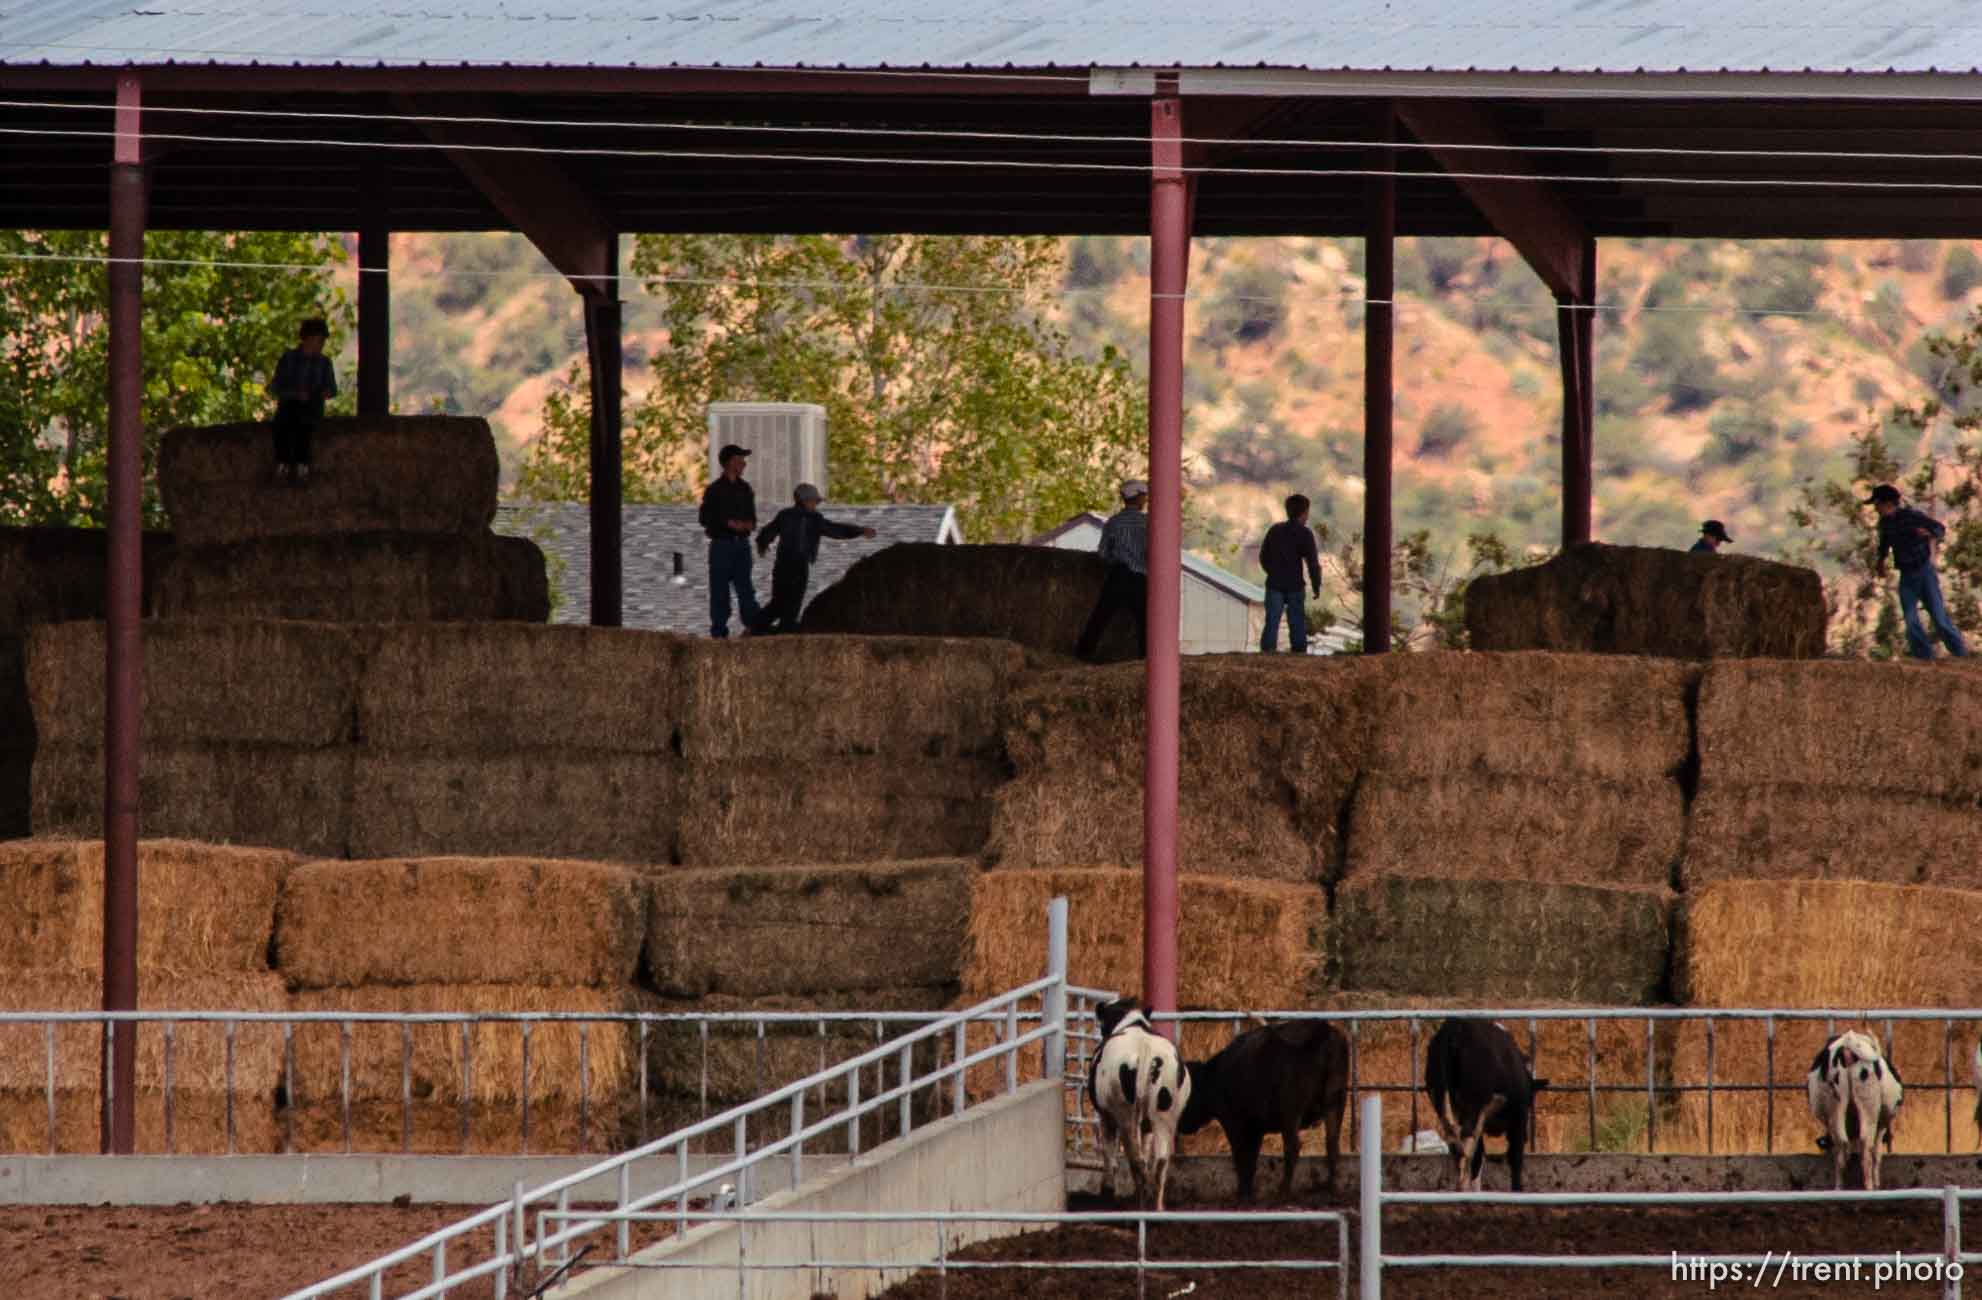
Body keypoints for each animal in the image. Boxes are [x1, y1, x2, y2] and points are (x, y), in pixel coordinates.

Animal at [1086, 998, 1189, 1212]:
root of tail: (1145, 1050)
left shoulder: (1106, 1116)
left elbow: (1109, 1155)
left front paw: (1108, 1191)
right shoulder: (1147, 1125)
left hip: (1126, 1116)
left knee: (1137, 1162)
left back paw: (1140, 1206)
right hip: (1164, 1117)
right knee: (1159, 1163)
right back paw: (1157, 1208)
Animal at [1181, 1022, 1355, 1204]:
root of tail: (1323, 1029)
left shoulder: (1234, 1123)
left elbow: (1241, 1155)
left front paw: (1243, 1193)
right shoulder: (1256, 1128)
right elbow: (1251, 1158)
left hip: (1291, 1112)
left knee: (1292, 1147)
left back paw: (1284, 1192)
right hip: (1335, 1103)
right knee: (1332, 1144)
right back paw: (1332, 1189)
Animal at [1427, 1022, 1545, 1196]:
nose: (1526, 1136)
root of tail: (1454, 1028)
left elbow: (1479, 1155)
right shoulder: (1519, 1114)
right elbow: (1515, 1157)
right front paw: (1517, 1189)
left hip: (1443, 1103)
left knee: (1457, 1145)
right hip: (1473, 1106)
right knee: (1466, 1144)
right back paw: (1462, 1186)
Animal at [1815, 1038, 1902, 1189]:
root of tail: (1847, 1044)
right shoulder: (1883, 1123)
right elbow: (1877, 1153)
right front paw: (1877, 1183)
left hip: (1835, 1112)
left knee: (1841, 1149)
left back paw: (1839, 1187)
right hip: (1870, 1110)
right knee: (1866, 1150)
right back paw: (1870, 1187)